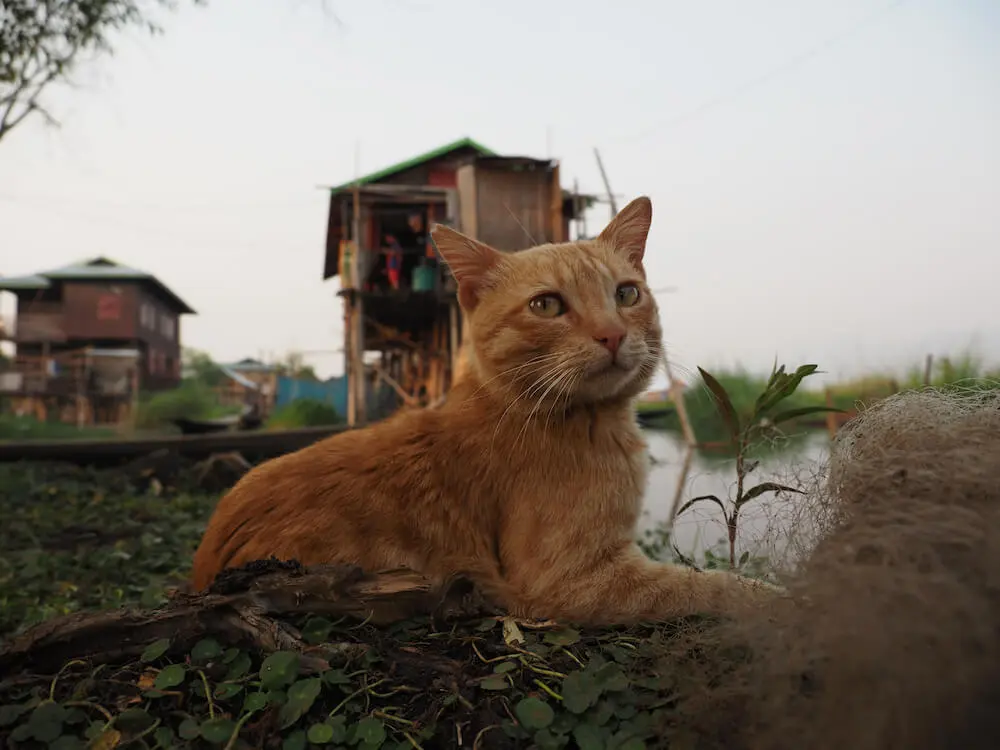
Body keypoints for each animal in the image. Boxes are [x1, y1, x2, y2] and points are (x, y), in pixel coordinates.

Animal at [195, 198, 772, 624]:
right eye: (546, 305)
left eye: (627, 294)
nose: (612, 334)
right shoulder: (572, 580)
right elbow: (709, 586)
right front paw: (774, 597)